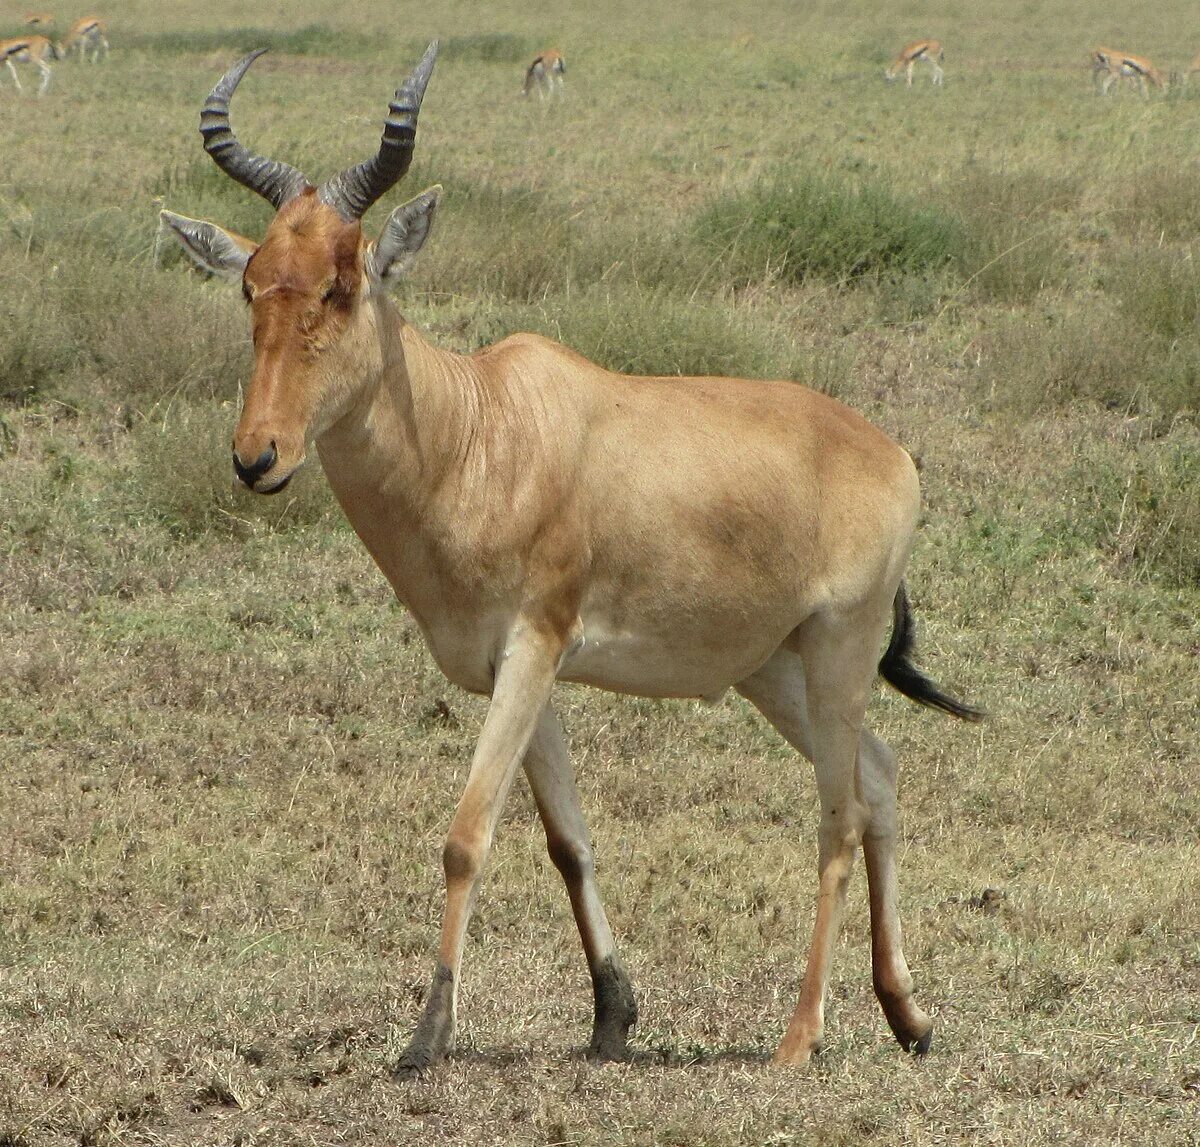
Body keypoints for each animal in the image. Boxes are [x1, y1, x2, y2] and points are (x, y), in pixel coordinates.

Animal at [159, 40, 979, 1070]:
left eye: (344, 282)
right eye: (251, 282)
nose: (258, 456)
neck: (482, 426)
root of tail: (891, 452)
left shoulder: (536, 643)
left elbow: (467, 833)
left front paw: (426, 1038)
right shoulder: (519, 667)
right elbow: (568, 841)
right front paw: (611, 1017)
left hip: (839, 648)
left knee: (838, 814)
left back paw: (800, 1037)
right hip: (772, 667)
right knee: (880, 772)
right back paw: (908, 1014)